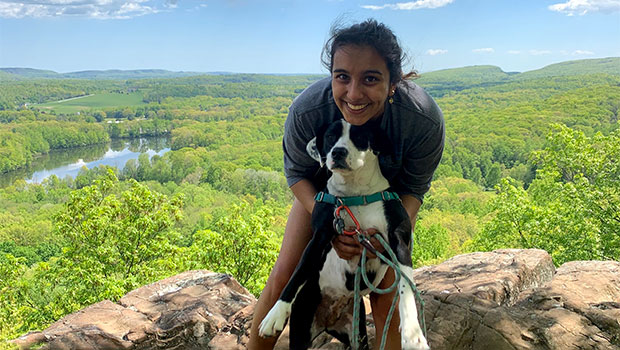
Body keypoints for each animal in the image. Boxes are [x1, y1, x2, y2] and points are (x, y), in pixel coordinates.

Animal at [260, 119, 428, 348]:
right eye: (330, 136)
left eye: (359, 137)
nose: (338, 152)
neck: (355, 193)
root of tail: (327, 322)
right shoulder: (319, 237)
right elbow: (297, 273)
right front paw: (275, 314)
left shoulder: (399, 241)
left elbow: (406, 287)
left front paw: (413, 334)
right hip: (301, 328)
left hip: (358, 334)